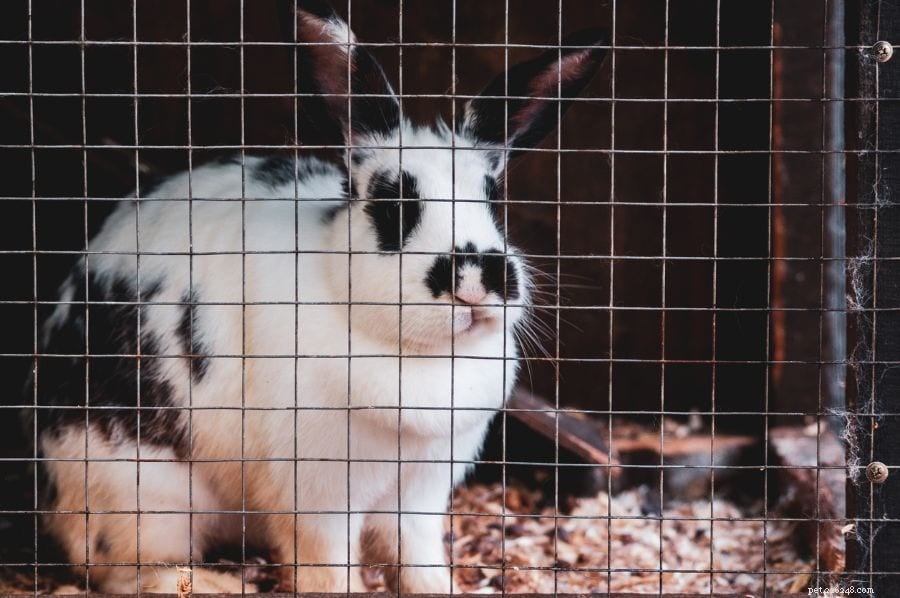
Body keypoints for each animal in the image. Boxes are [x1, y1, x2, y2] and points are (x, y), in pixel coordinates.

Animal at [33, 0, 607, 593]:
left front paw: (440, 589)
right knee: (132, 571)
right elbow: (325, 560)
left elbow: (417, 553)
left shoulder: (419, 492)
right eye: (392, 205)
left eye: (493, 199)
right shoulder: (318, 492)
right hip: (145, 495)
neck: (420, 355)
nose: (477, 278)